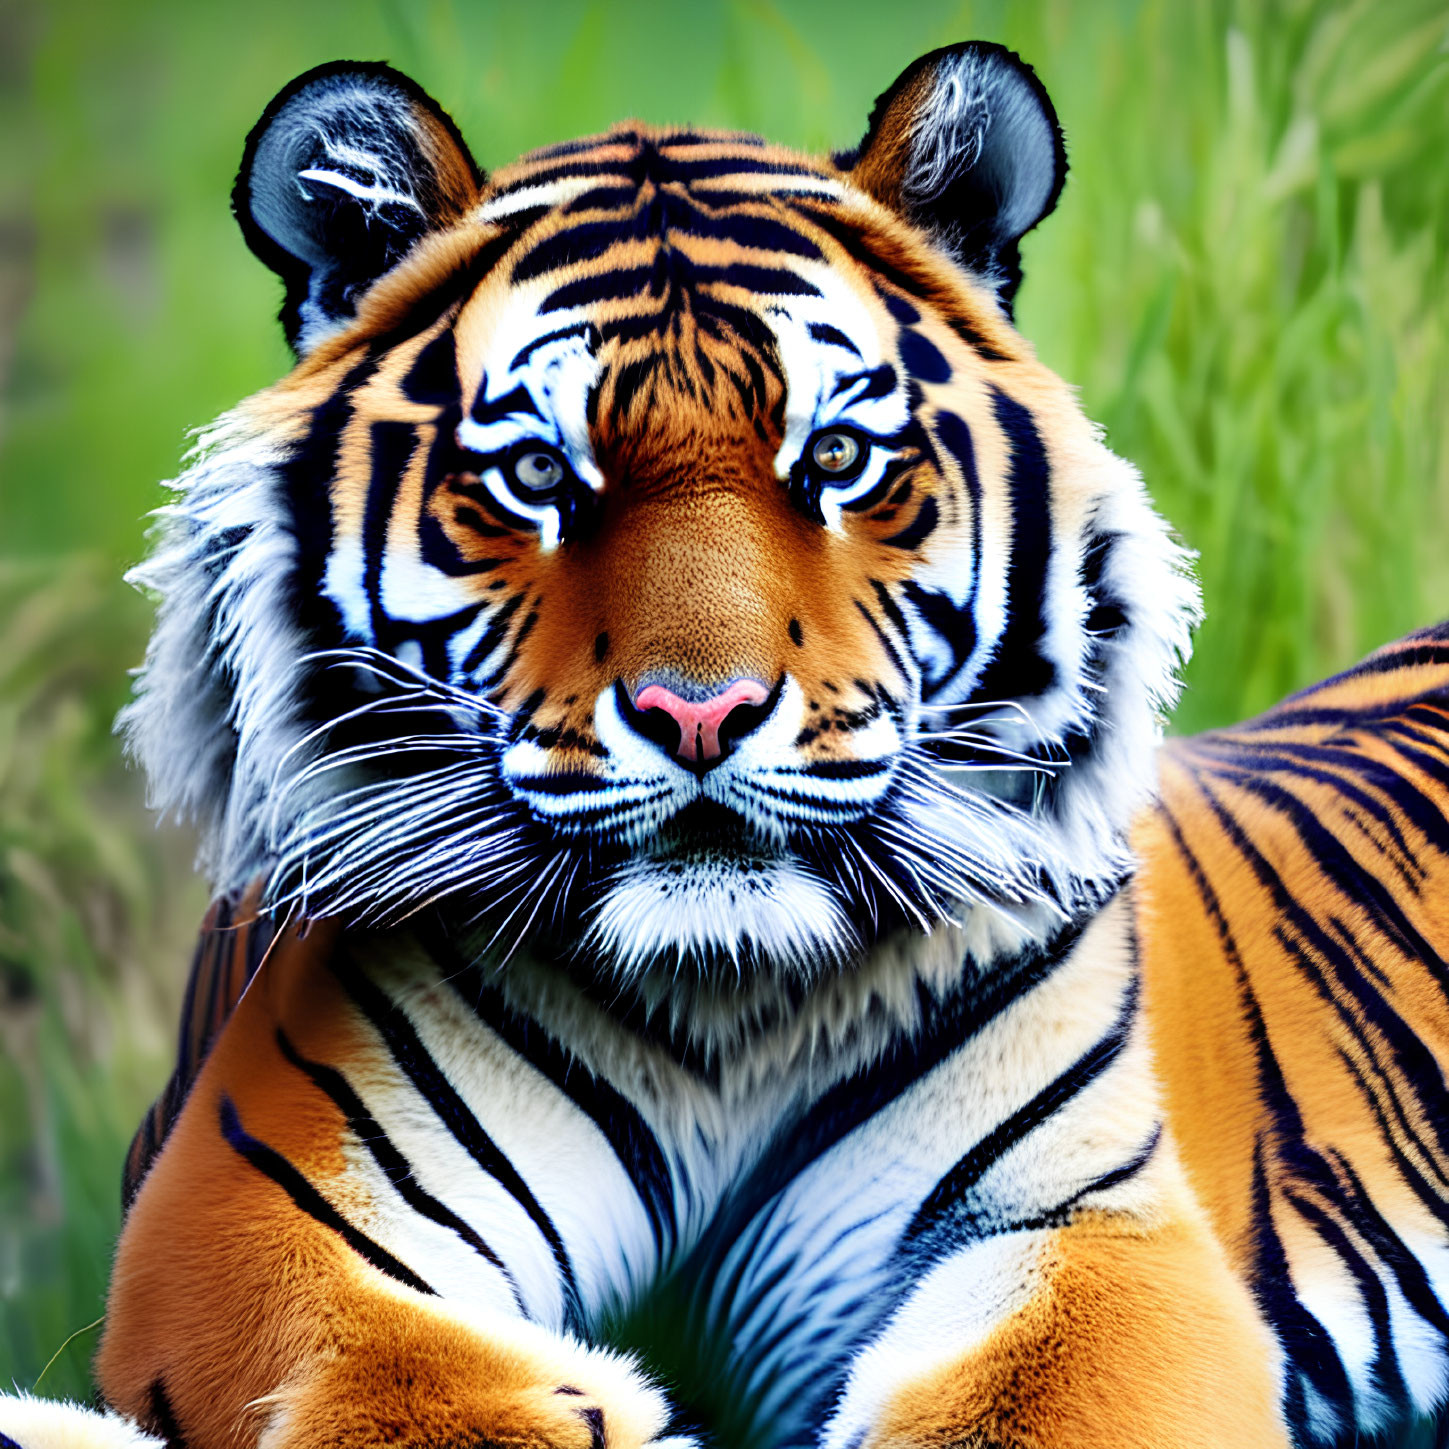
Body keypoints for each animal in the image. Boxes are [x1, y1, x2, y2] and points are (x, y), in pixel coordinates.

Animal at [8, 42, 1449, 1449]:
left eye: (840, 458)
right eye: (539, 474)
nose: (699, 715)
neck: (725, 1001)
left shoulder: (1093, 1229)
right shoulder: (267, 1205)